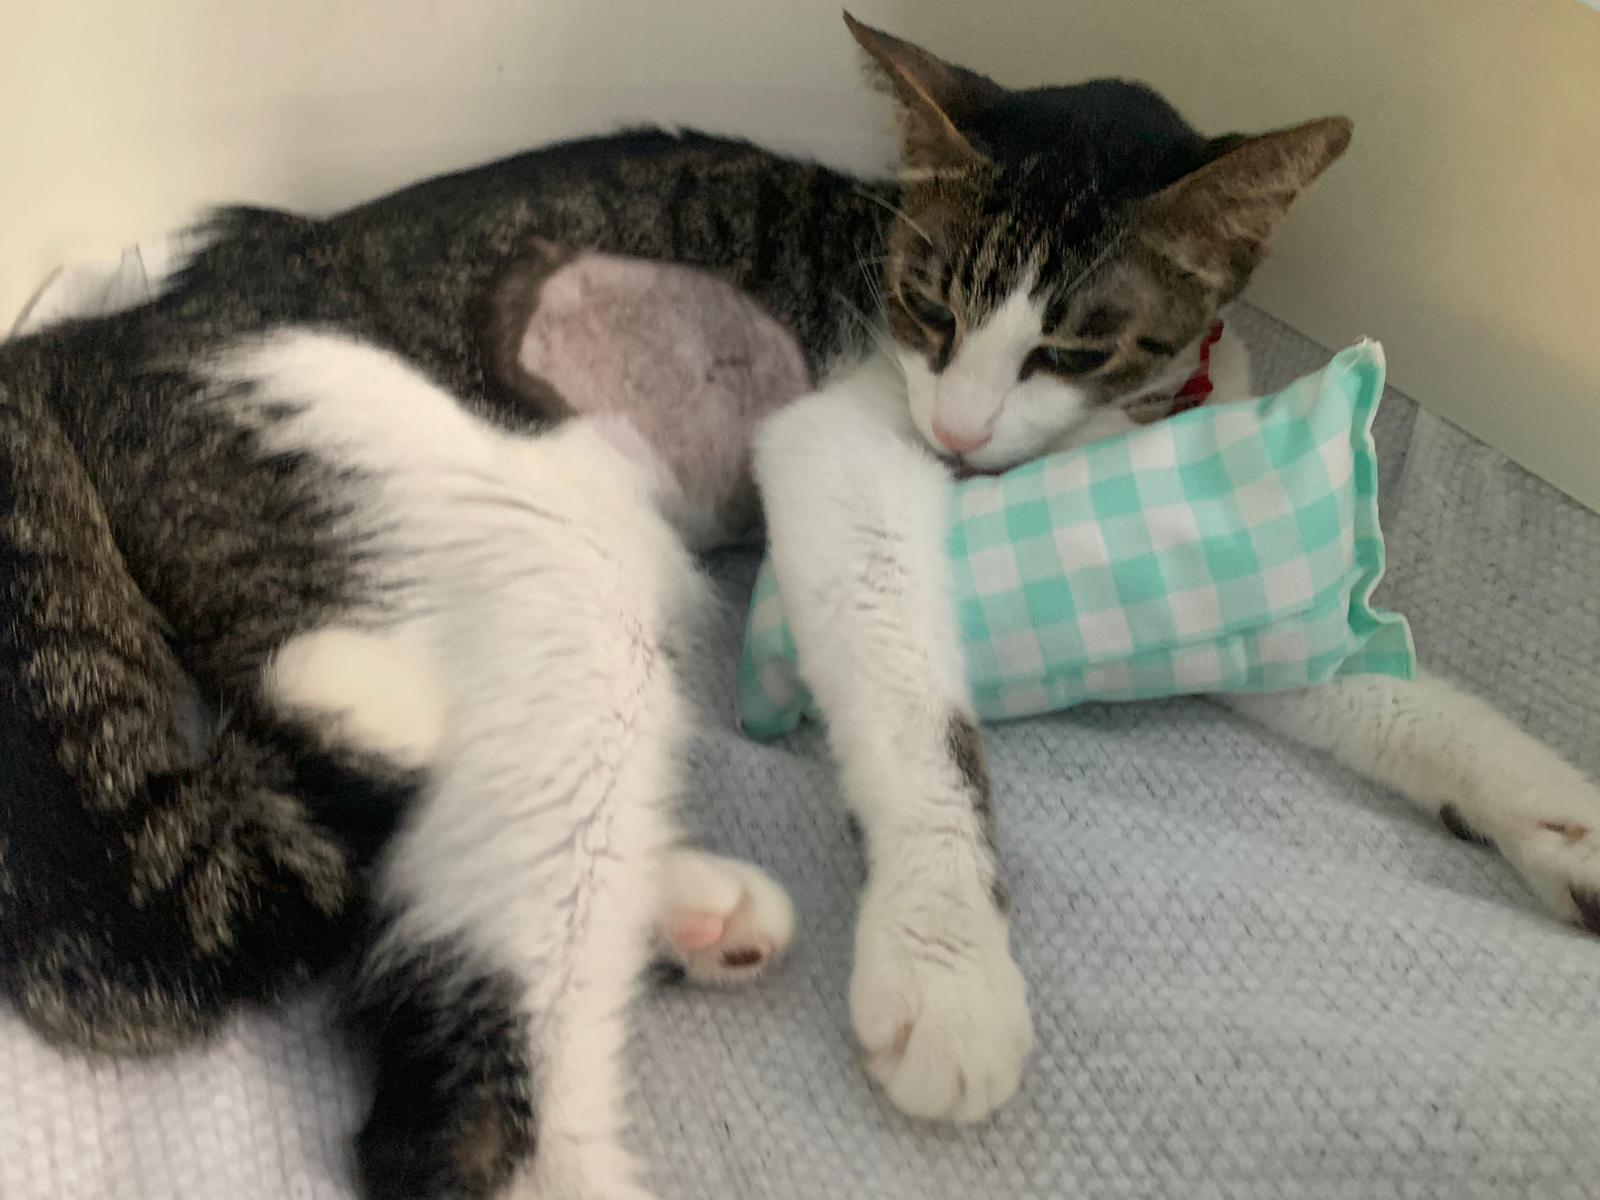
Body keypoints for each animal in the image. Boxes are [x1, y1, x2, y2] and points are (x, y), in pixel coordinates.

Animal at [4, 12, 1600, 1200]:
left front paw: (1552, 817)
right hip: (476, 516)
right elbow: (912, 707)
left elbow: (1399, 700)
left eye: (1077, 344)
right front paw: (947, 962)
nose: (959, 432)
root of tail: (103, 332)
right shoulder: (842, 453)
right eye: (927, 305)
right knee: (433, 1054)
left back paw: (680, 899)